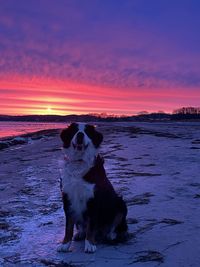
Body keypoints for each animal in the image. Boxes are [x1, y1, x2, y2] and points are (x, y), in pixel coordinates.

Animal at [57, 123, 127, 253]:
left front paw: (90, 244)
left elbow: (91, 225)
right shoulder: (68, 197)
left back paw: (111, 234)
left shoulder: (94, 199)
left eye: (87, 132)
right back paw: (80, 233)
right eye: (74, 130)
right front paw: (65, 244)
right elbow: (68, 226)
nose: (80, 134)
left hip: (120, 204)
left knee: (117, 226)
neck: (79, 163)